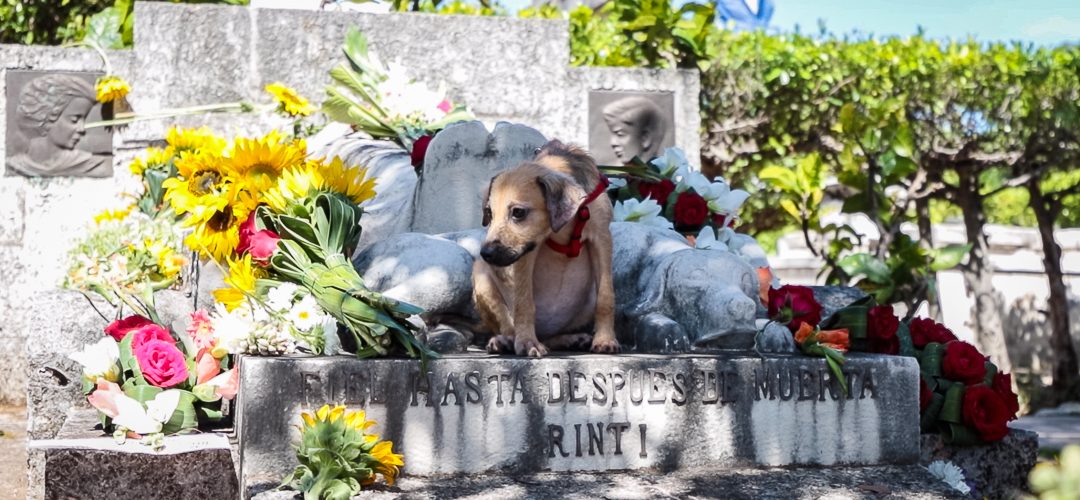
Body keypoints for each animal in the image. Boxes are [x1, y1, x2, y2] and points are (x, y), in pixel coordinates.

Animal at [470, 140, 617, 358]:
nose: (486, 254)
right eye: (489, 213)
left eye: (518, 212)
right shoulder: (526, 252)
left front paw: (605, 340)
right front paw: (527, 342)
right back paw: (505, 341)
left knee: (552, 337)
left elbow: (606, 297)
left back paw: (570, 339)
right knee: (508, 326)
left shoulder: (602, 239)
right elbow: (524, 302)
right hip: (481, 275)